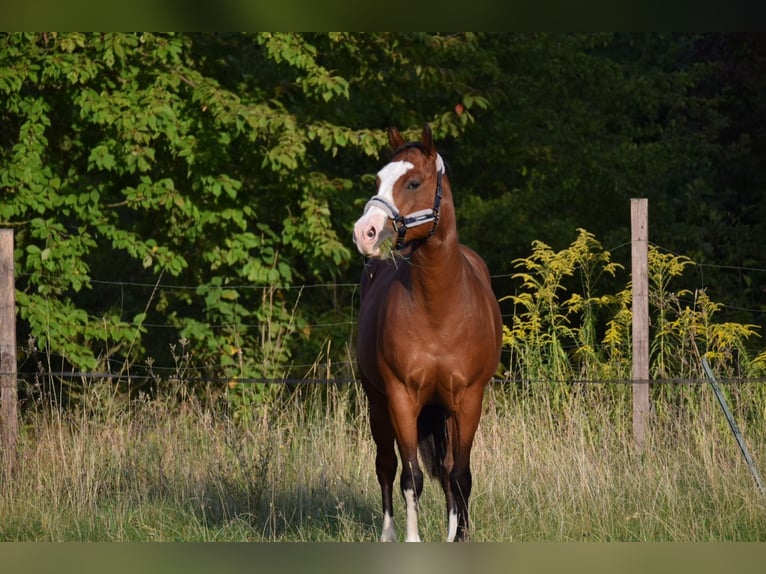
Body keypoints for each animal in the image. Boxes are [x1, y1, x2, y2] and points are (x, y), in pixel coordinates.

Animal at [354, 124, 504, 544]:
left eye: (413, 182)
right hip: (377, 402)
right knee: (386, 466)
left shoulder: (469, 399)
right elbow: (410, 477)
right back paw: (388, 534)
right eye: (378, 180)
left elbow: (460, 475)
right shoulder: (401, 398)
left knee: (450, 470)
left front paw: (459, 537)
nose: (364, 233)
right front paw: (411, 540)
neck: (439, 309)